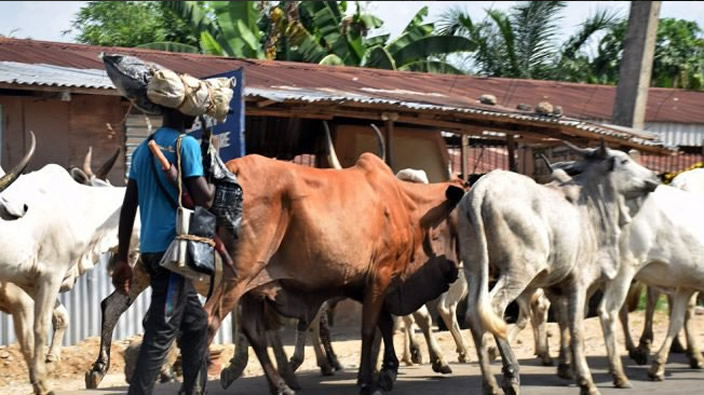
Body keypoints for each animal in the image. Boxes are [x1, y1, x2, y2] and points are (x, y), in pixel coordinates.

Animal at [204, 152, 464, 395]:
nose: (455, 271)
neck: (406, 204)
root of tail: (233, 168)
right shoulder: (381, 273)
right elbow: (370, 328)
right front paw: (368, 380)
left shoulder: (367, 283)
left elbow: (385, 323)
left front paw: (387, 370)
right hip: (237, 276)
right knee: (210, 320)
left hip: (252, 288)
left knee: (254, 332)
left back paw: (281, 385)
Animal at [462, 142, 660, 395]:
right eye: (624, 161)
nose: (655, 177)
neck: (592, 206)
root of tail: (482, 188)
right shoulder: (580, 282)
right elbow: (577, 330)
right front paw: (587, 382)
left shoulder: (556, 285)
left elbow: (565, 323)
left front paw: (568, 368)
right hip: (518, 271)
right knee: (494, 309)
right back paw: (510, 374)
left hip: (475, 267)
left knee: (473, 316)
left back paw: (490, 384)